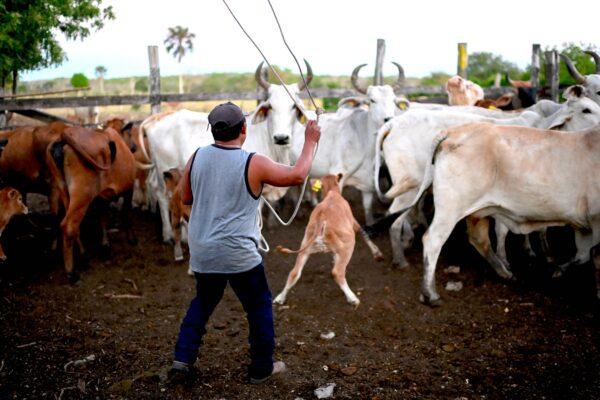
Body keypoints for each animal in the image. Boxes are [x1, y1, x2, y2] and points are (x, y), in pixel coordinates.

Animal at [274, 174, 384, 306]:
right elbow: (364, 234)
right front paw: (377, 254)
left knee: (294, 273)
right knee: (337, 272)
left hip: (305, 247)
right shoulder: (354, 223)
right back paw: (352, 298)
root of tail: (321, 220)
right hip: (347, 245)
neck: (332, 193)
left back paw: (280, 298)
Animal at [290, 62, 408, 225]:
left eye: (393, 100)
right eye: (372, 100)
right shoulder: (337, 176)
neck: (364, 143)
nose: (388, 119)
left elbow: (367, 208)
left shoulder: (367, 185)